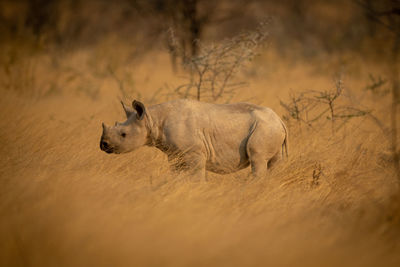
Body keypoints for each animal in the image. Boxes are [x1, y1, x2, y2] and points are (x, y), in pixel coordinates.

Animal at [99, 99, 288, 180]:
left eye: (123, 134)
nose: (103, 145)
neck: (152, 119)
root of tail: (280, 120)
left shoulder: (195, 153)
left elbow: (197, 177)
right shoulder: (175, 155)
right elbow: (176, 175)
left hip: (265, 128)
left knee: (258, 158)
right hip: (269, 127)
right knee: (273, 162)